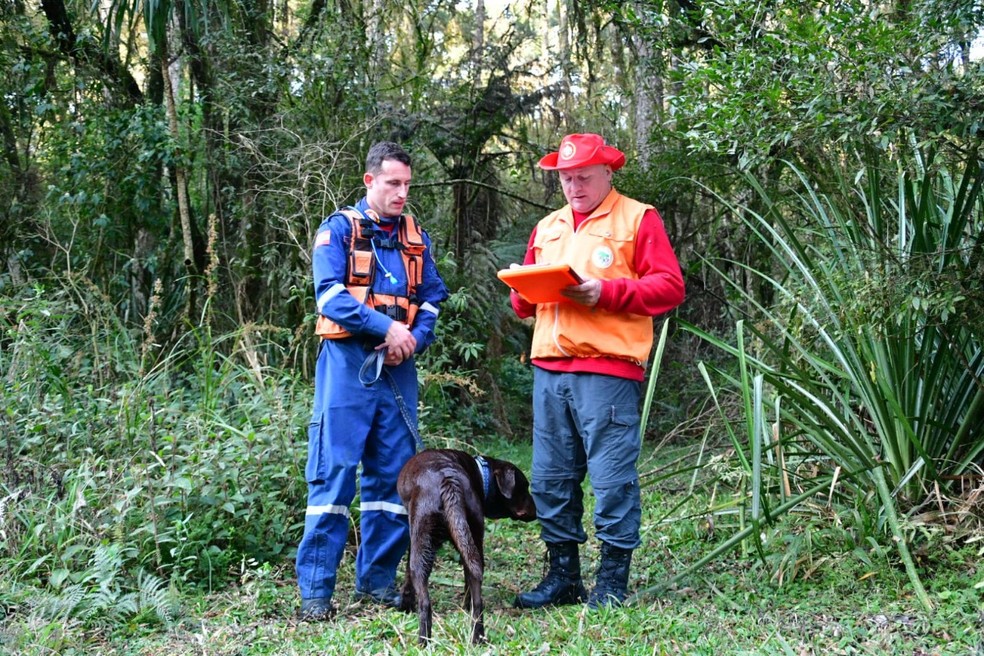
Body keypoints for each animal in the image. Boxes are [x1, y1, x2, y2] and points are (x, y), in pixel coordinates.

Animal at [396, 448, 540, 644]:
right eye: (524, 486)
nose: (537, 511)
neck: (481, 472)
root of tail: (448, 480)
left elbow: (407, 577)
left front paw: (404, 606)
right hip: (473, 540)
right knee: (477, 600)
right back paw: (477, 637)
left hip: (423, 546)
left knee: (425, 601)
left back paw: (423, 641)